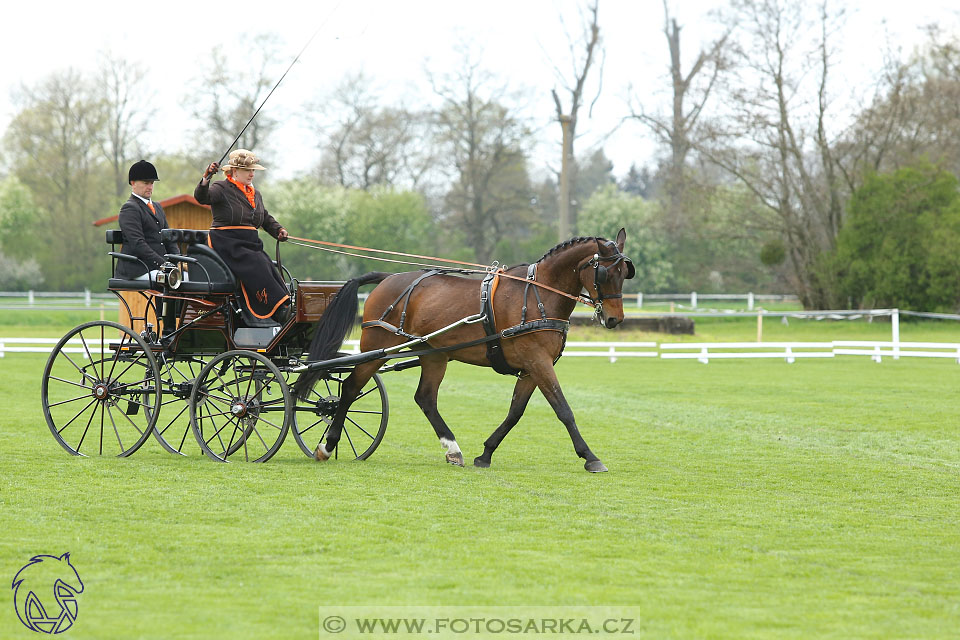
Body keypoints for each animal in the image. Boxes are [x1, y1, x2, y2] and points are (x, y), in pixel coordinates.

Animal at [296, 229, 632, 470]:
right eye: (604, 273)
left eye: (625, 273)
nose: (614, 319)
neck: (538, 294)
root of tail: (388, 278)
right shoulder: (538, 362)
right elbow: (563, 409)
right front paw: (590, 456)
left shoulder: (531, 367)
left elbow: (515, 412)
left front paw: (486, 453)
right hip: (377, 349)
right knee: (350, 388)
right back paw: (327, 445)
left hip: (434, 354)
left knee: (425, 398)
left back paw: (453, 449)